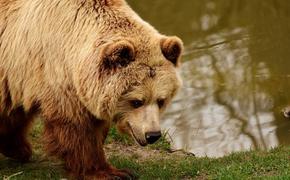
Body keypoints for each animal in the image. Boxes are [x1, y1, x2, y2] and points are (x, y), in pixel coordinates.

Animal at [0, 0, 182, 179]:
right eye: (136, 101)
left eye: (161, 100)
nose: (152, 135)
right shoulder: (55, 76)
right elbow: (78, 129)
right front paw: (111, 172)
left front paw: (17, 149)